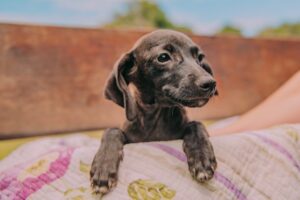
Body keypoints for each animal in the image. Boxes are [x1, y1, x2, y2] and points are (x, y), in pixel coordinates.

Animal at [90, 29, 217, 195]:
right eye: (163, 57)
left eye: (200, 58)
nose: (211, 83)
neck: (158, 118)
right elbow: (112, 131)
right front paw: (103, 167)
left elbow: (196, 124)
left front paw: (202, 157)